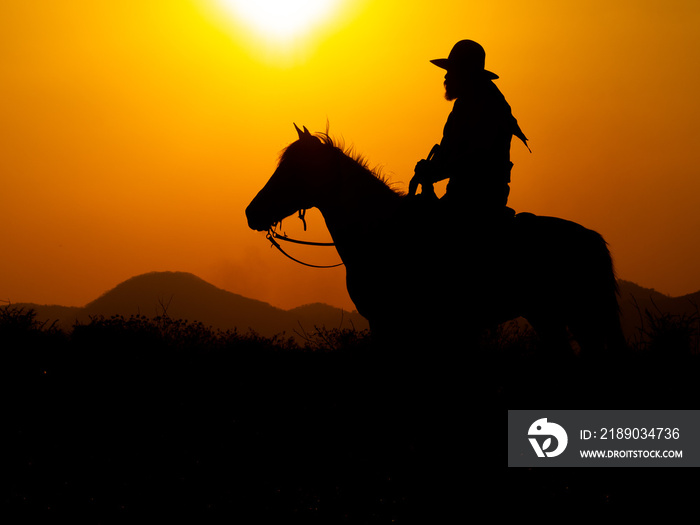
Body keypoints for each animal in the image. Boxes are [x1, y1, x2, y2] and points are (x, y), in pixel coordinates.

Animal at [246, 126, 624, 356]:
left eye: (293, 170)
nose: (252, 212)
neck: (381, 233)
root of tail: (592, 238)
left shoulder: (390, 323)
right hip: (550, 314)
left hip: (574, 312)